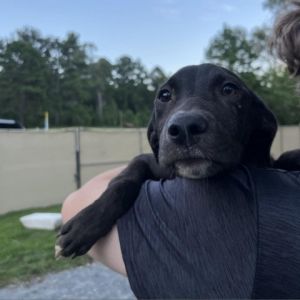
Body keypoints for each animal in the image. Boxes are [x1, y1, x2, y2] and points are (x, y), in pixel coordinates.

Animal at [56, 62, 298, 258]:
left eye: (229, 89)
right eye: (164, 95)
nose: (184, 128)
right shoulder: (149, 161)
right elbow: (123, 181)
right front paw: (84, 224)